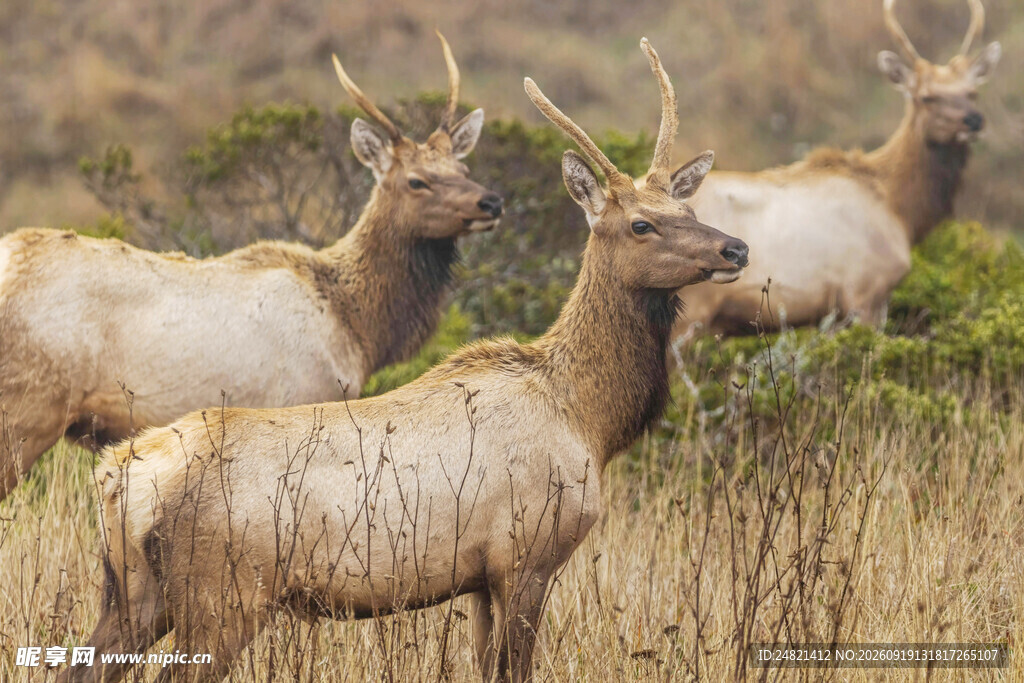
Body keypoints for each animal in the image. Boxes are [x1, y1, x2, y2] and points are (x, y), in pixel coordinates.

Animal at [0, 33, 503, 501]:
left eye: (462, 166)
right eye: (417, 181)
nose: (491, 201)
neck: (357, 326)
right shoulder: (305, 397)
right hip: (26, 410)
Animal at [57, 39, 747, 683]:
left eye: (687, 209)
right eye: (640, 225)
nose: (735, 248)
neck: (590, 420)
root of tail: (119, 476)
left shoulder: (478, 579)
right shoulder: (525, 555)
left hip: (133, 595)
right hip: (222, 594)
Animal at [675, 0, 1001, 338]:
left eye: (973, 92)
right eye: (926, 96)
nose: (974, 120)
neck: (901, 212)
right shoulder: (865, 289)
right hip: (693, 308)